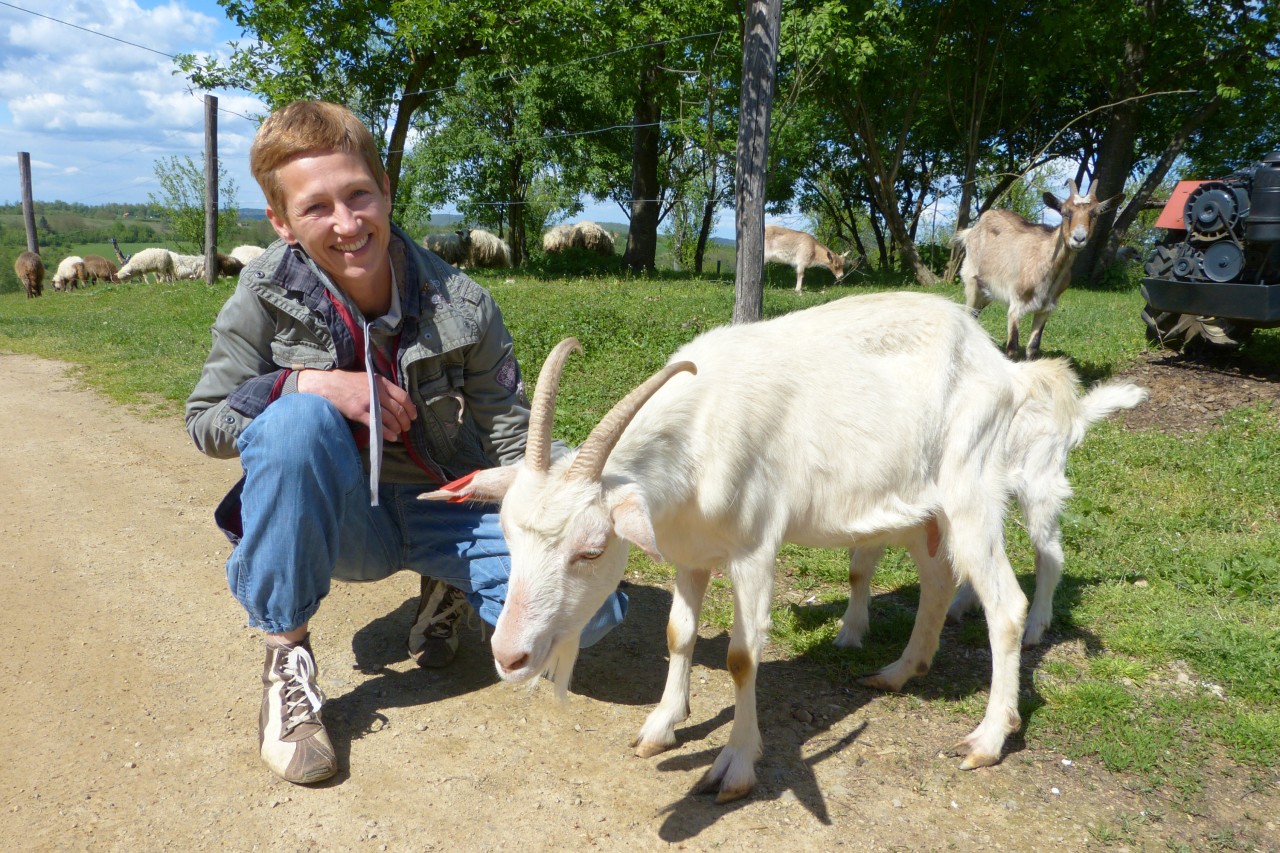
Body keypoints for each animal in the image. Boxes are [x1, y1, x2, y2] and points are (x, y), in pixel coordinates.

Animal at [424, 290, 1095, 799]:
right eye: (508, 535)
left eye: (590, 550)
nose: (509, 657)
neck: (700, 432)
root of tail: (1005, 368)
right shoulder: (689, 550)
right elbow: (678, 633)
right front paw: (660, 726)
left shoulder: (753, 551)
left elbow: (743, 658)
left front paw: (736, 766)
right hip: (923, 509)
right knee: (937, 581)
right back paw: (899, 672)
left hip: (972, 492)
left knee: (1005, 606)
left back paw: (987, 738)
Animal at [834, 376, 1146, 648]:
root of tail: (1073, 414)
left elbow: (858, 570)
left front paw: (849, 635)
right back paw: (960, 605)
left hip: (1039, 483)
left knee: (1049, 555)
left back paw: (1034, 627)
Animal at [957, 178, 1126, 356]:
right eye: (1065, 213)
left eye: (1095, 214)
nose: (1079, 238)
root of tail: (972, 230)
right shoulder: (1015, 305)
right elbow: (1012, 348)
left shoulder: (1046, 308)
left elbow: (1033, 346)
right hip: (971, 283)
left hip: (986, 292)